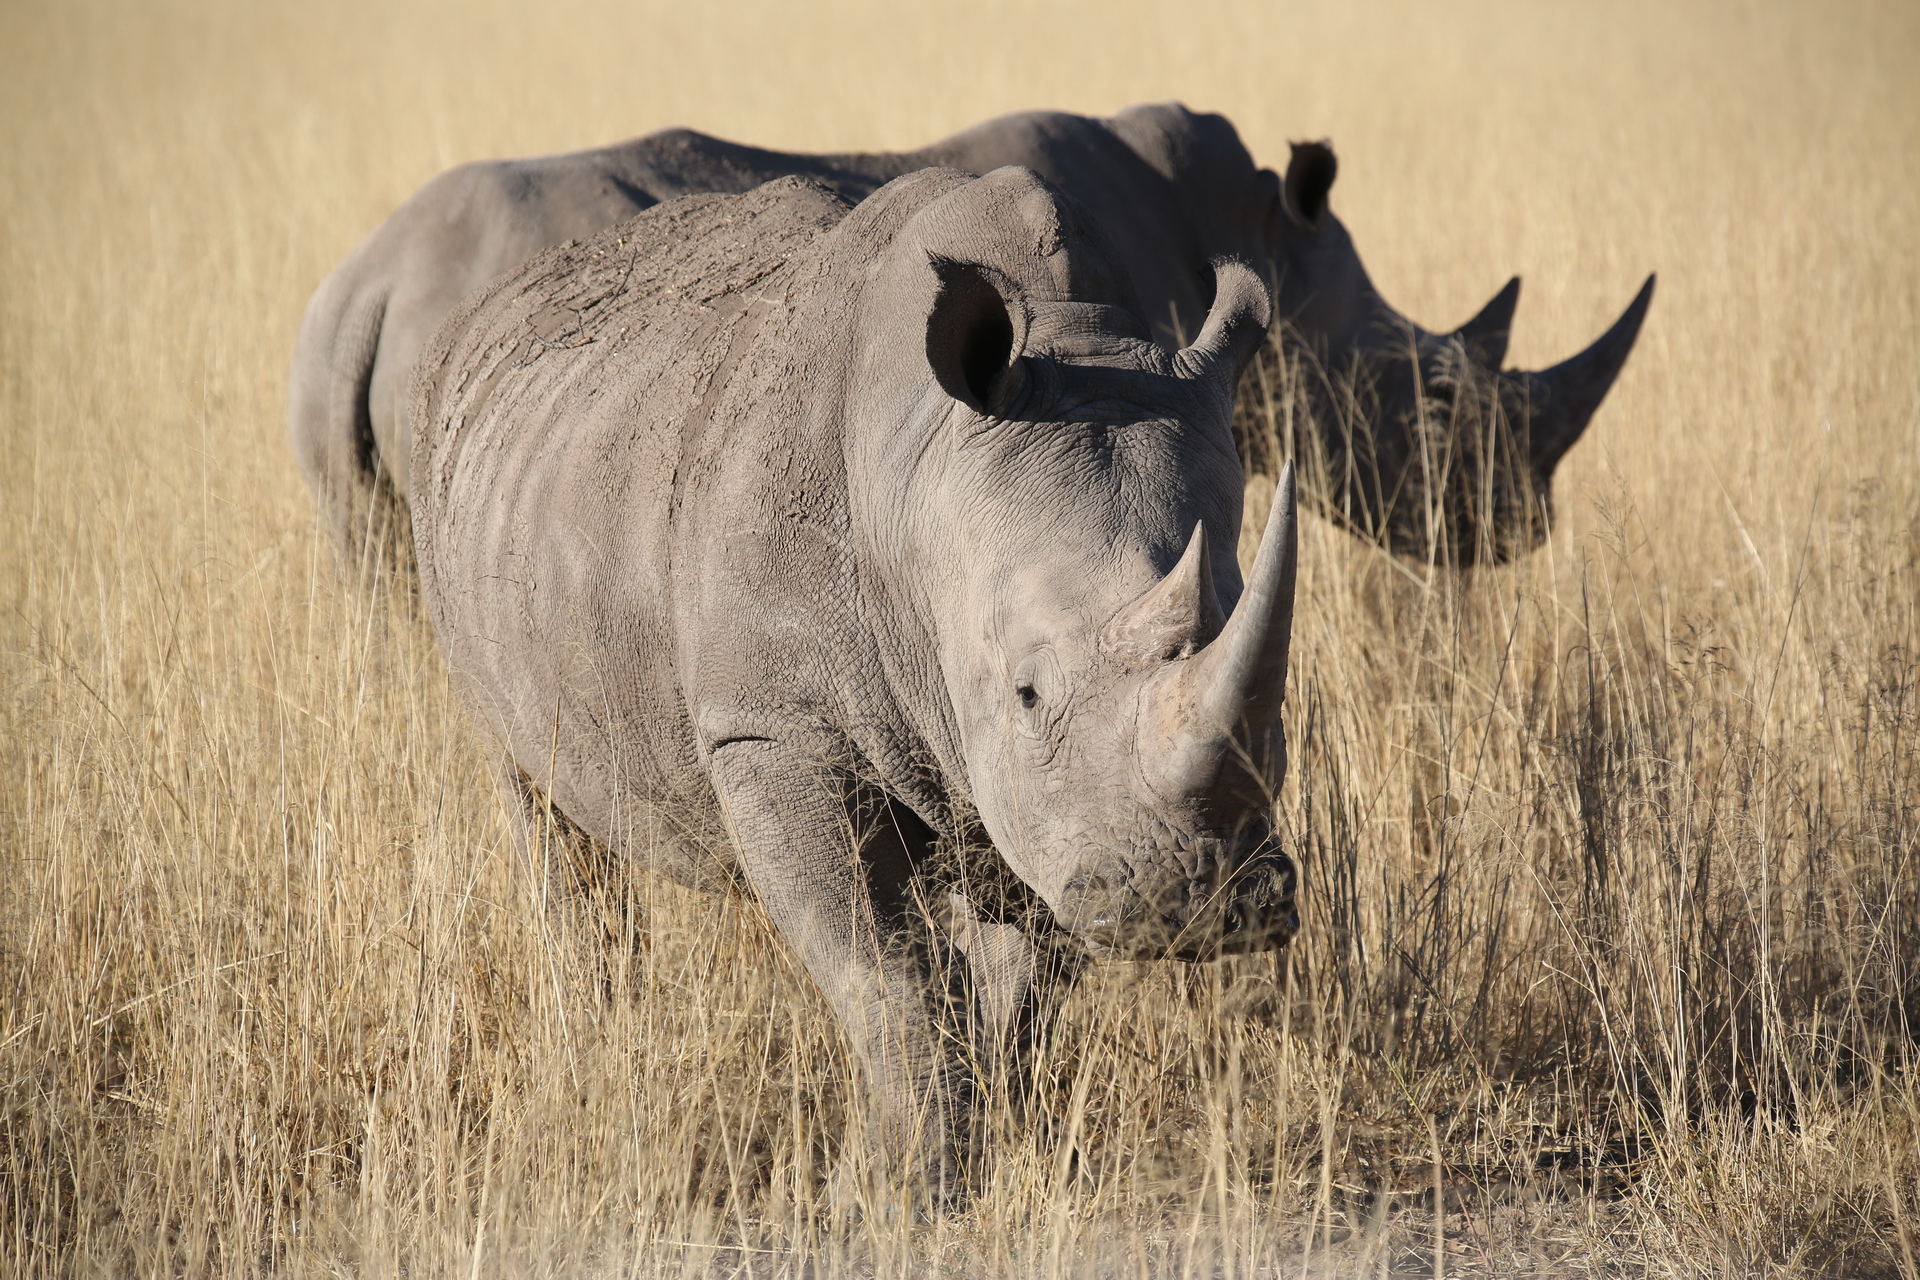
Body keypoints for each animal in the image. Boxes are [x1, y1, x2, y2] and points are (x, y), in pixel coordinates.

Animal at [410, 167, 1301, 1192]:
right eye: (1029, 692)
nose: (1204, 905)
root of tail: (480, 313)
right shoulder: (772, 727)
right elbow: (884, 968)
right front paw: (909, 1186)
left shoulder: (1039, 799)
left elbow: (1022, 983)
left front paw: (997, 1146)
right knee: (534, 800)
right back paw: (602, 1058)